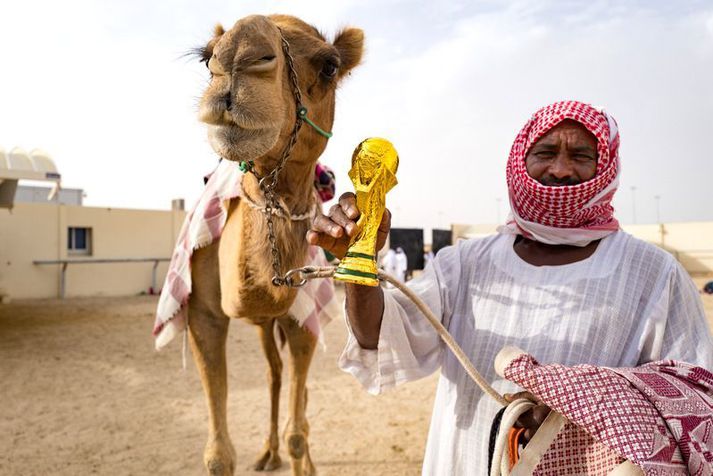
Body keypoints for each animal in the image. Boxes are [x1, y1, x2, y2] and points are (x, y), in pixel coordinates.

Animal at [186, 13, 364, 474]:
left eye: (329, 65)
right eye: (205, 58)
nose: (237, 58)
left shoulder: (302, 320)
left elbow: (298, 434)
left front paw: (303, 457)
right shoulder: (203, 315)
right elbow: (218, 456)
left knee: (295, 392)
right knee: (274, 373)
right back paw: (267, 453)